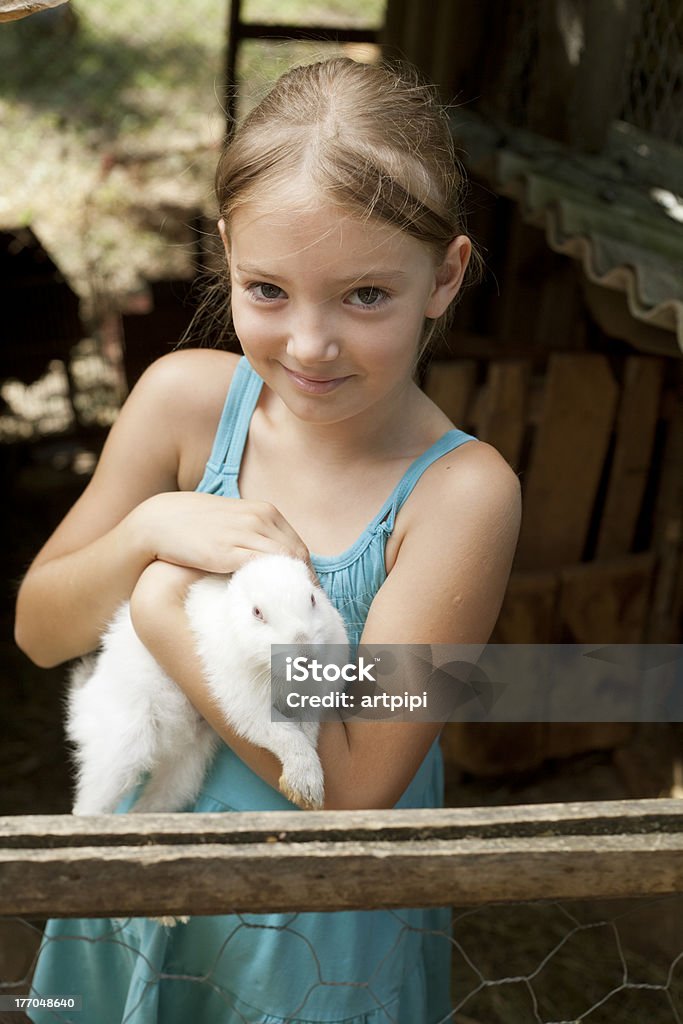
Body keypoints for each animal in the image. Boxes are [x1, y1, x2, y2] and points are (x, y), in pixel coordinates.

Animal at [66, 552, 350, 815]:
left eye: (312, 599)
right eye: (257, 612)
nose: (306, 654)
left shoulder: (311, 702)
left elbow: (307, 731)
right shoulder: (246, 707)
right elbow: (286, 736)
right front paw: (305, 785)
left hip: (185, 770)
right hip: (122, 749)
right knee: (92, 803)